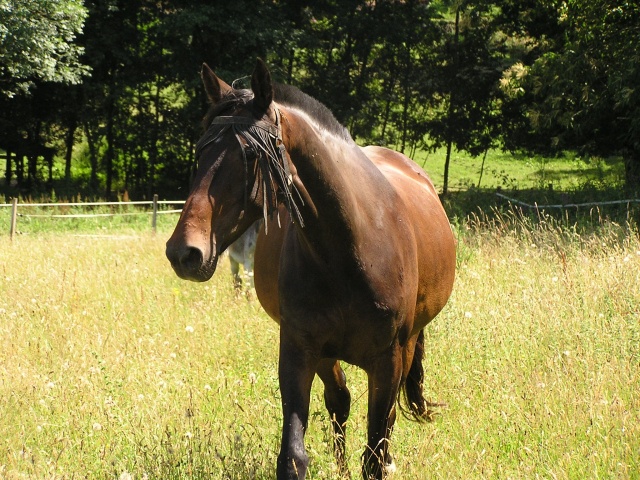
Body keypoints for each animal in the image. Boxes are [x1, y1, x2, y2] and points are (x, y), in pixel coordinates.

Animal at [165, 60, 456, 480]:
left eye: (250, 154)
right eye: (201, 151)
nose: (183, 252)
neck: (350, 249)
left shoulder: (387, 362)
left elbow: (376, 453)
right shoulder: (299, 350)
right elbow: (293, 456)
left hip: (406, 344)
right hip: (326, 355)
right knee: (340, 399)